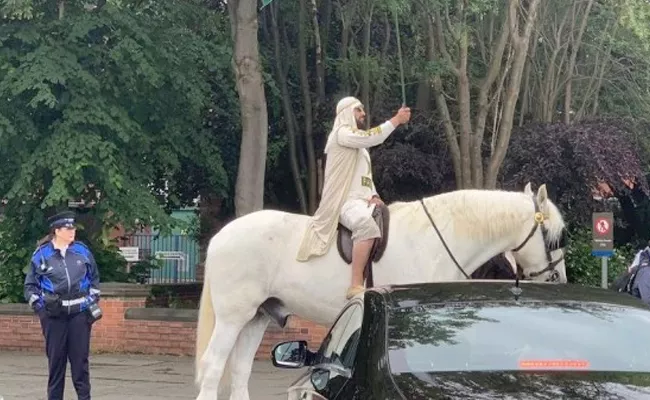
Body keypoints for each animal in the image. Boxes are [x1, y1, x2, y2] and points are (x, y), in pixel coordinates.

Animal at [194, 183, 568, 398]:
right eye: (553, 238)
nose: (557, 279)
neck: (440, 239)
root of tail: (222, 236)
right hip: (233, 317)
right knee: (213, 365)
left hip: (256, 318)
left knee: (238, 371)